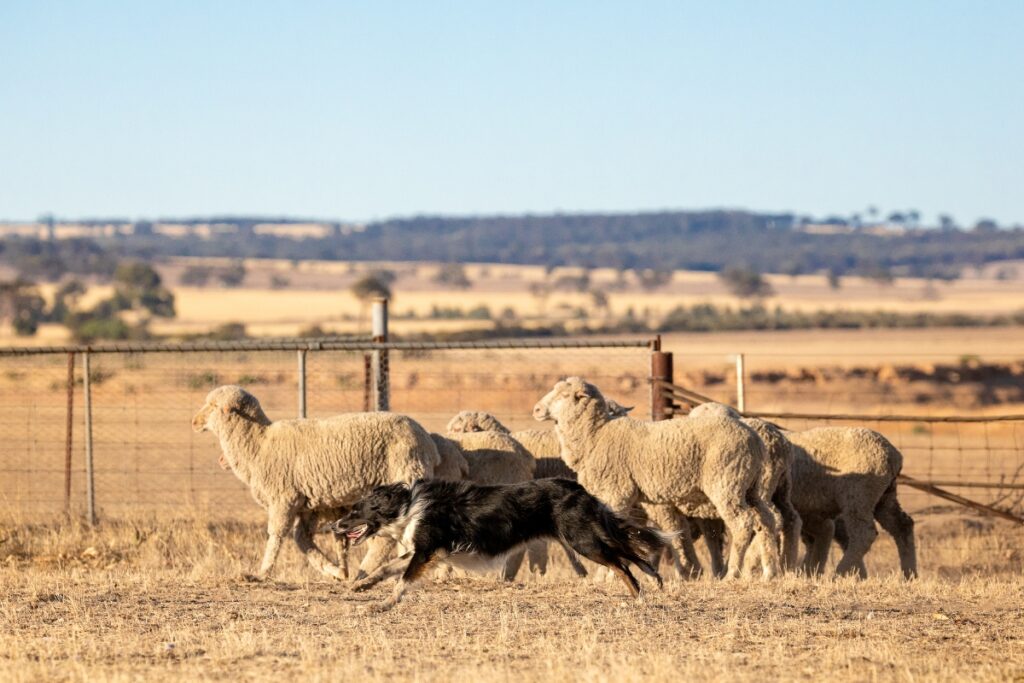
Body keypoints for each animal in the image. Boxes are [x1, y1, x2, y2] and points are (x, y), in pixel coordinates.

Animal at [192, 387, 440, 581]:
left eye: (213, 405)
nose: (194, 422)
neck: (258, 443)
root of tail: (427, 441)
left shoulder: (283, 498)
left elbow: (276, 536)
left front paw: (262, 573)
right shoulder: (308, 505)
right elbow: (302, 539)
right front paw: (335, 570)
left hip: (404, 474)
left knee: (390, 536)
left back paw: (366, 573)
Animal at [325, 479, 663, 610]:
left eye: (356, 511)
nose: (334, 525)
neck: (406, 507)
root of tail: (580, 489)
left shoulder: (427, 550)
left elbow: (403, 579)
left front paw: (383, 604)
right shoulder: (426, 550)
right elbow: (386, 568)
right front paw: (362, 586)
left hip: (583, 541)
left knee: (622, 564)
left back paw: (639, 598)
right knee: (624, 559)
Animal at [532, 376, 778, 581]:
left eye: (564, 395)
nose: (536, 409)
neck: (595, 435)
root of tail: (755, 439)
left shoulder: (617, 493)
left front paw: (607, 576)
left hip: (727, 484)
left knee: (742, 524)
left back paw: (732, 573)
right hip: (751, 487)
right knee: (767, 521)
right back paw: (769, 572)